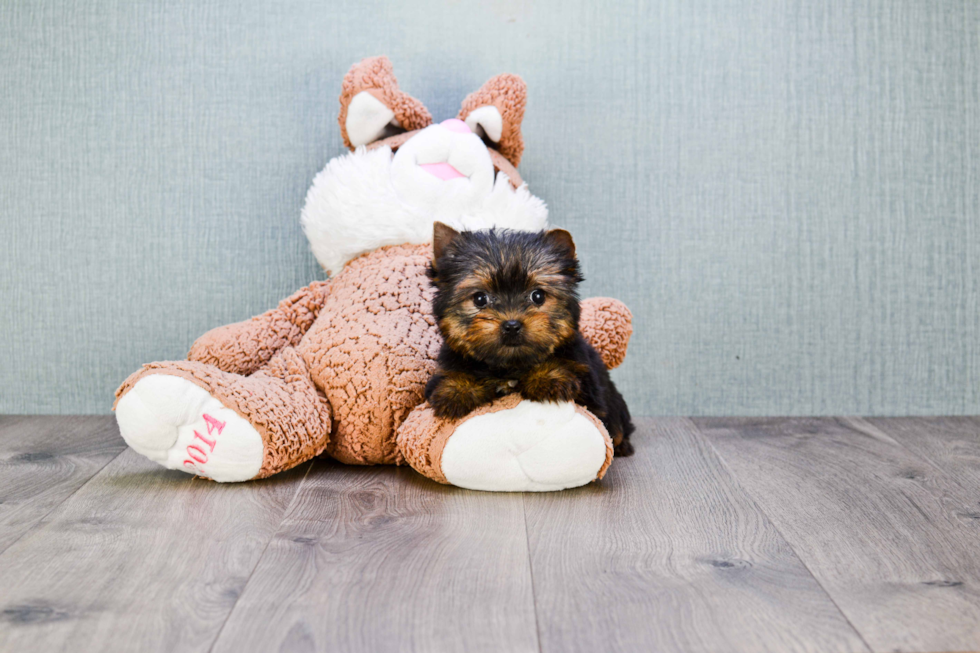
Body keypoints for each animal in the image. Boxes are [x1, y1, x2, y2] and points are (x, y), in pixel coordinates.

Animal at [424, 222, 640, 456]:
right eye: (480, 298)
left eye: (538, 296)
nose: (511, 325)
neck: (509, 367)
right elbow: (450, 377)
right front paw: (457, 390)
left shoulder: (587, 383)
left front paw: (547, 377)